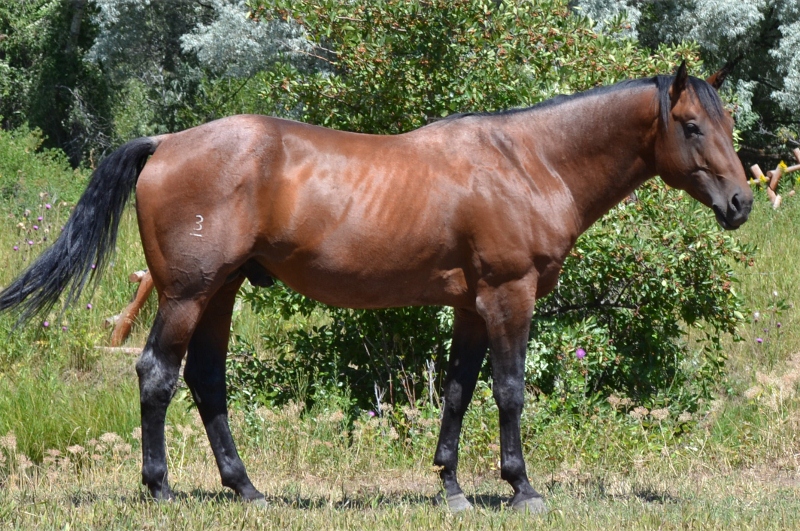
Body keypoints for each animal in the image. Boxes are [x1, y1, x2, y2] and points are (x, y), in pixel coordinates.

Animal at [0, 63, 752, 516]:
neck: (528, 161)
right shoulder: (509, 296)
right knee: (157, 372)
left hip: (221, 292)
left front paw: (451, 488)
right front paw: (521, 487)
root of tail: (165, 142)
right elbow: (509, 391)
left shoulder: (469, 305)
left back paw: (247, 489)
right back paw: (160, 489)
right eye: (691, 126)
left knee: (207, 380)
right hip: (188, 293)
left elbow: (457, 391)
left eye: (728, 125)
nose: (742, 202)